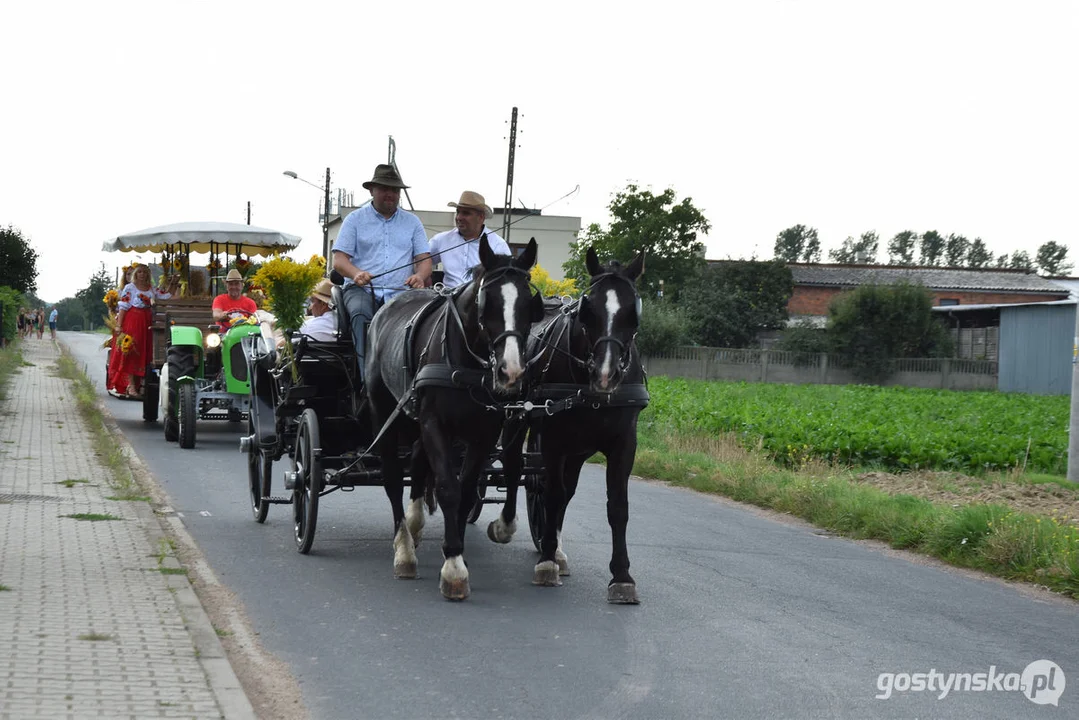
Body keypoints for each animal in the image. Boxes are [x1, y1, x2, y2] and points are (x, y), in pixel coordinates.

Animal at [366, 237, 543, 604]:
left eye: (527, 304)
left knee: (418, 463)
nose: (511, 371)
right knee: (393, 479)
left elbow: (466, 490)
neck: (466, 361)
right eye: (487, 303)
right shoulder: (435, 424)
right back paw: (404, 548)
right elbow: (448, 488)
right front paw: (453, 569)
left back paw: (415, 524)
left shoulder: (483, 433)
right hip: (385, 413)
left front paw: (457, 551)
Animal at [489, 246, 647, 604]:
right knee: (514, 466)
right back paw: (509, 528)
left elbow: (617, 506)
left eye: (633, 314)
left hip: (577, 449)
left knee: (564, 487)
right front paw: (546, 563)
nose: (605, 375)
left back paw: (558, 549)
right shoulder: (554, 440)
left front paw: (622, 576)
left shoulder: (624, 443)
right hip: (516, 418)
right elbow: (553, 493)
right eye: (588, 310)